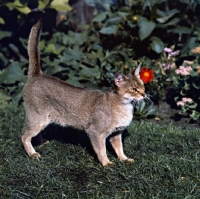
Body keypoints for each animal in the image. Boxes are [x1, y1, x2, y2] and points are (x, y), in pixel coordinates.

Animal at [21, 10, 146, 166]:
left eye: (143, 86)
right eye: (134, 89)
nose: (144, 94)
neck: (123, 106)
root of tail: (37, 74)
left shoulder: (116, 133)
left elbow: (119, 148)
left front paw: (124, 159)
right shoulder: (95, 132)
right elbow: (101, 150)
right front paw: (106, 164)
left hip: (42, 120)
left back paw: (42, 142)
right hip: (37, 118)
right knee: (24, 136)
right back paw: (32, 154)